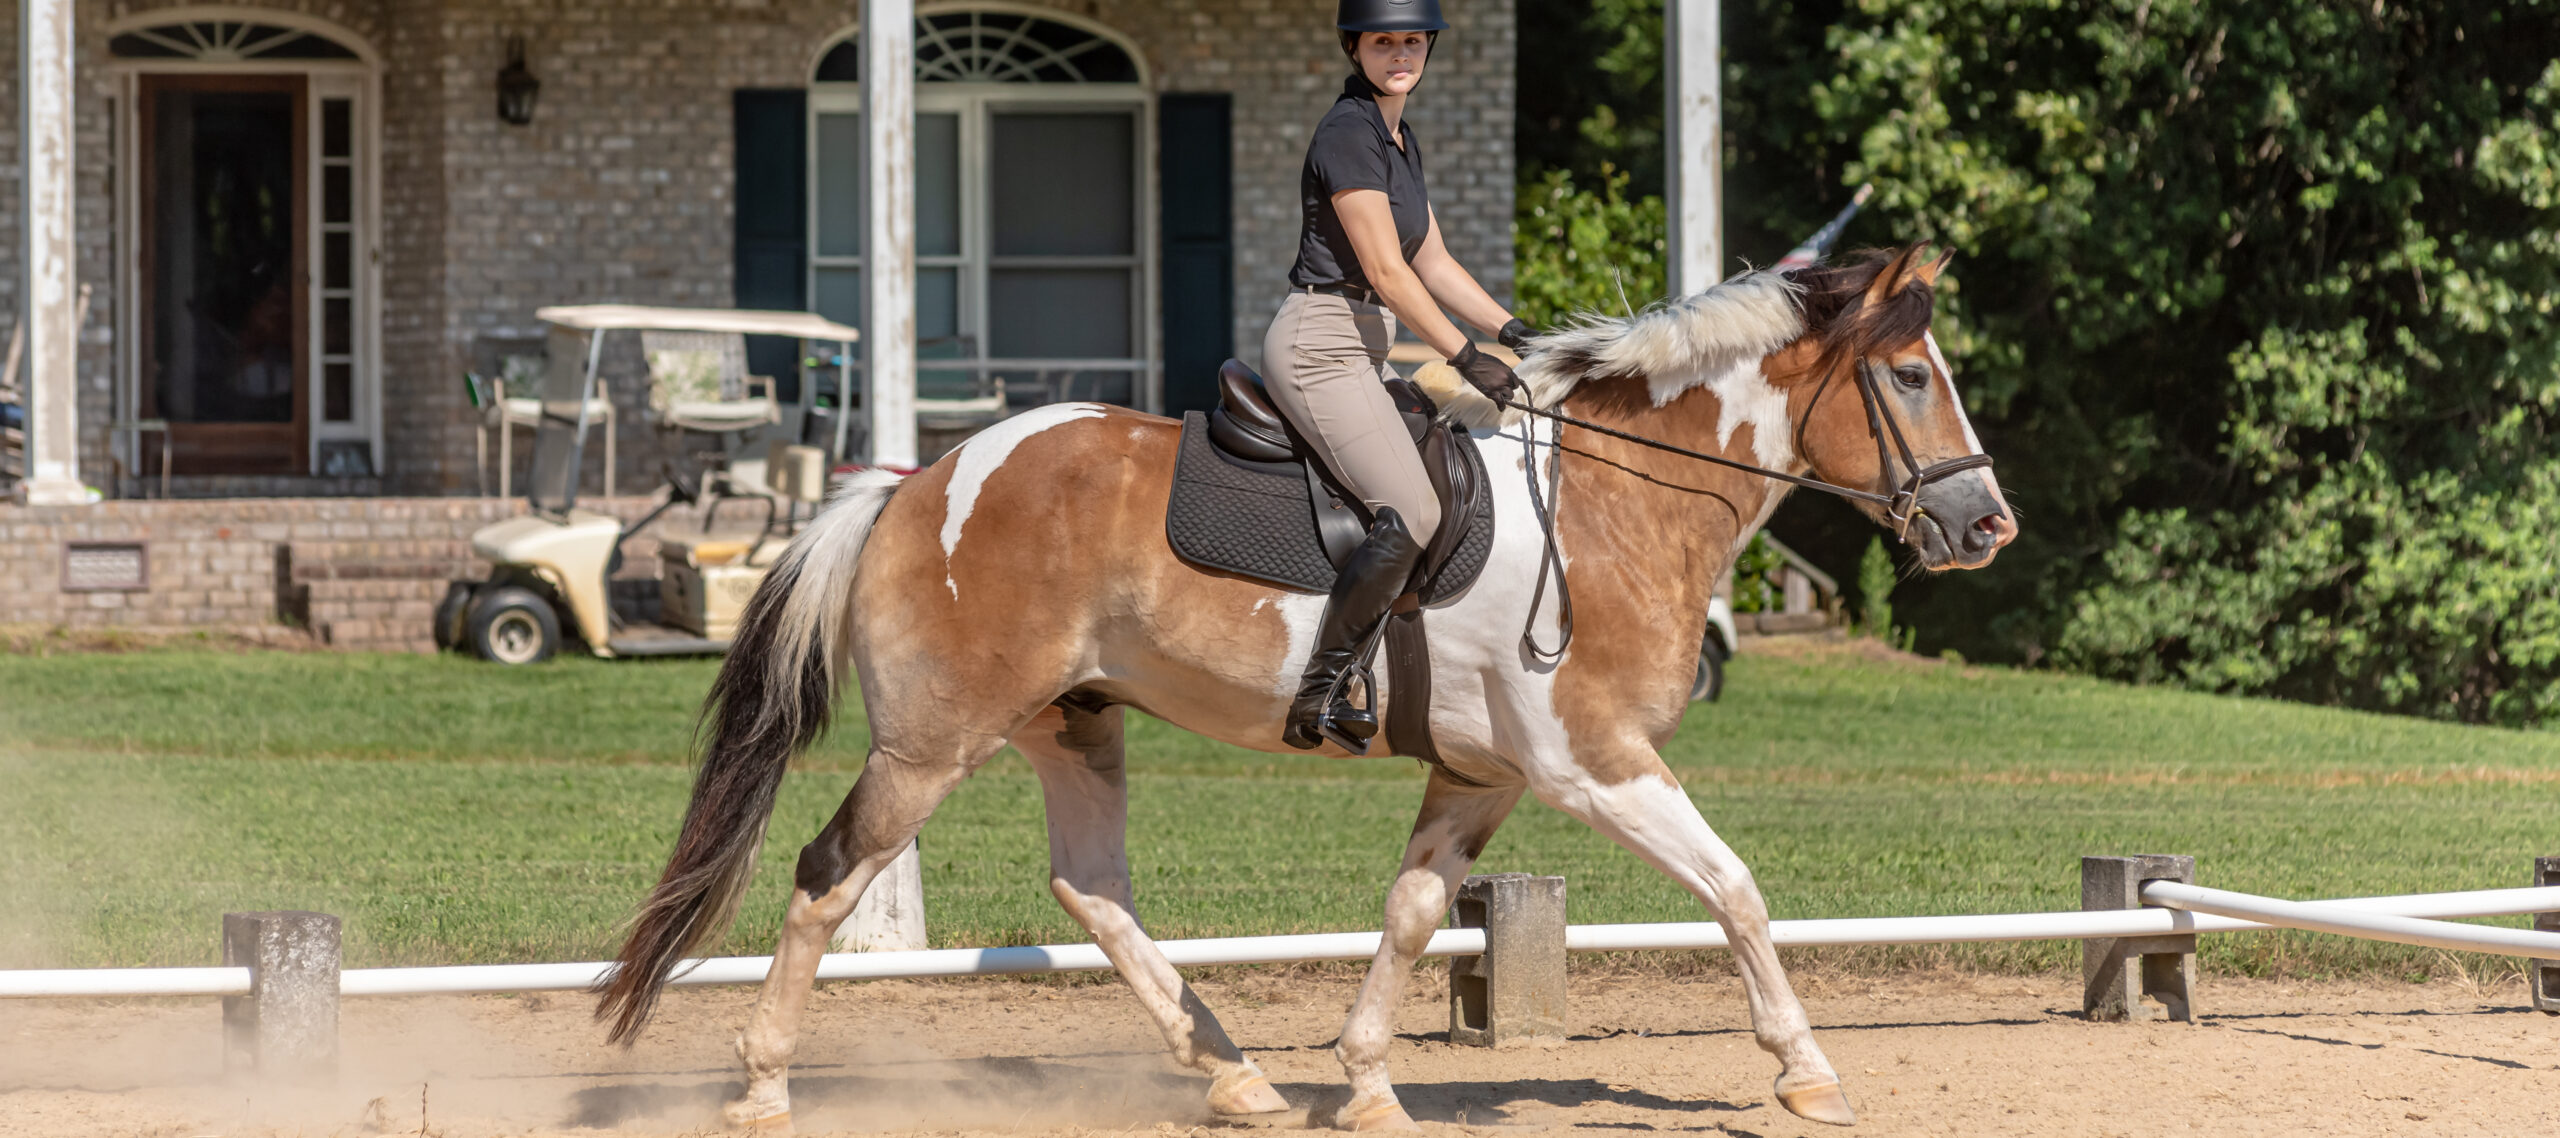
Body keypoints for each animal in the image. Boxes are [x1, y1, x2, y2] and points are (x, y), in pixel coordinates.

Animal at [599, 241, 2017, 1125]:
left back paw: (1232, 1075)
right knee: (828, 875)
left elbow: (1410, 912)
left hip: (1074, 722)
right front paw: (1806, 1073)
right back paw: (764, 1085)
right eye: (1909, 377)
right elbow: (1735, 888)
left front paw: (1368, 1079)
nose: (1986, 524)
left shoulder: (1482, 774)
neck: (1611, 501)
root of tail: (916, 486)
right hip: (933, 743)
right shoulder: (1592, 764)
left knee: (1091, 887)